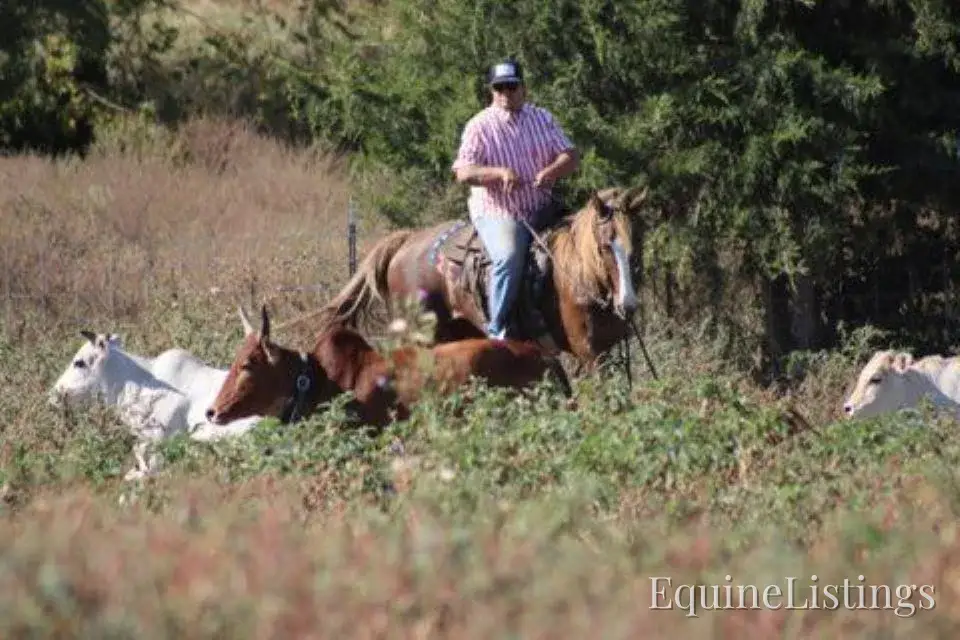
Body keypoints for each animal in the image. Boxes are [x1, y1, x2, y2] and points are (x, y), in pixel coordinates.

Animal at [314, 187, 649, 371]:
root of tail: (408, 240)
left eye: (638, 240)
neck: (579, 274)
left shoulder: (609, 351)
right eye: (604, 246)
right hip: (419, 335)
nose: (628, 304)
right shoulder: (590, 353)